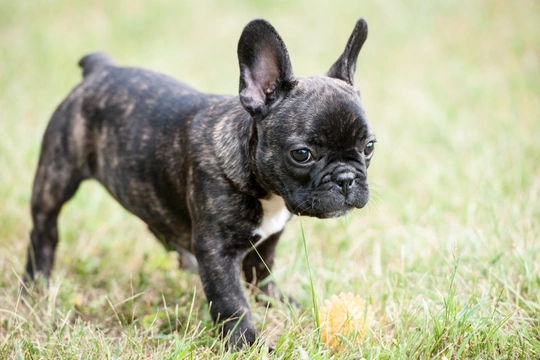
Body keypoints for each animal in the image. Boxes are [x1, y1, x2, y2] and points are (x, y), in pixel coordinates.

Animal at [25, 17, 376, 348]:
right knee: (44, 230)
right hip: (56, 176)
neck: (266, 191)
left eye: (369, 147)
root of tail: (100, 69)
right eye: (302, 154)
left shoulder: (269, 238)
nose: (346, 178)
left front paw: (276, 302)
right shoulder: (217, 250)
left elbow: (261, 272)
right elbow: (231, 299)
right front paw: (246, 343)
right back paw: (36, 286)